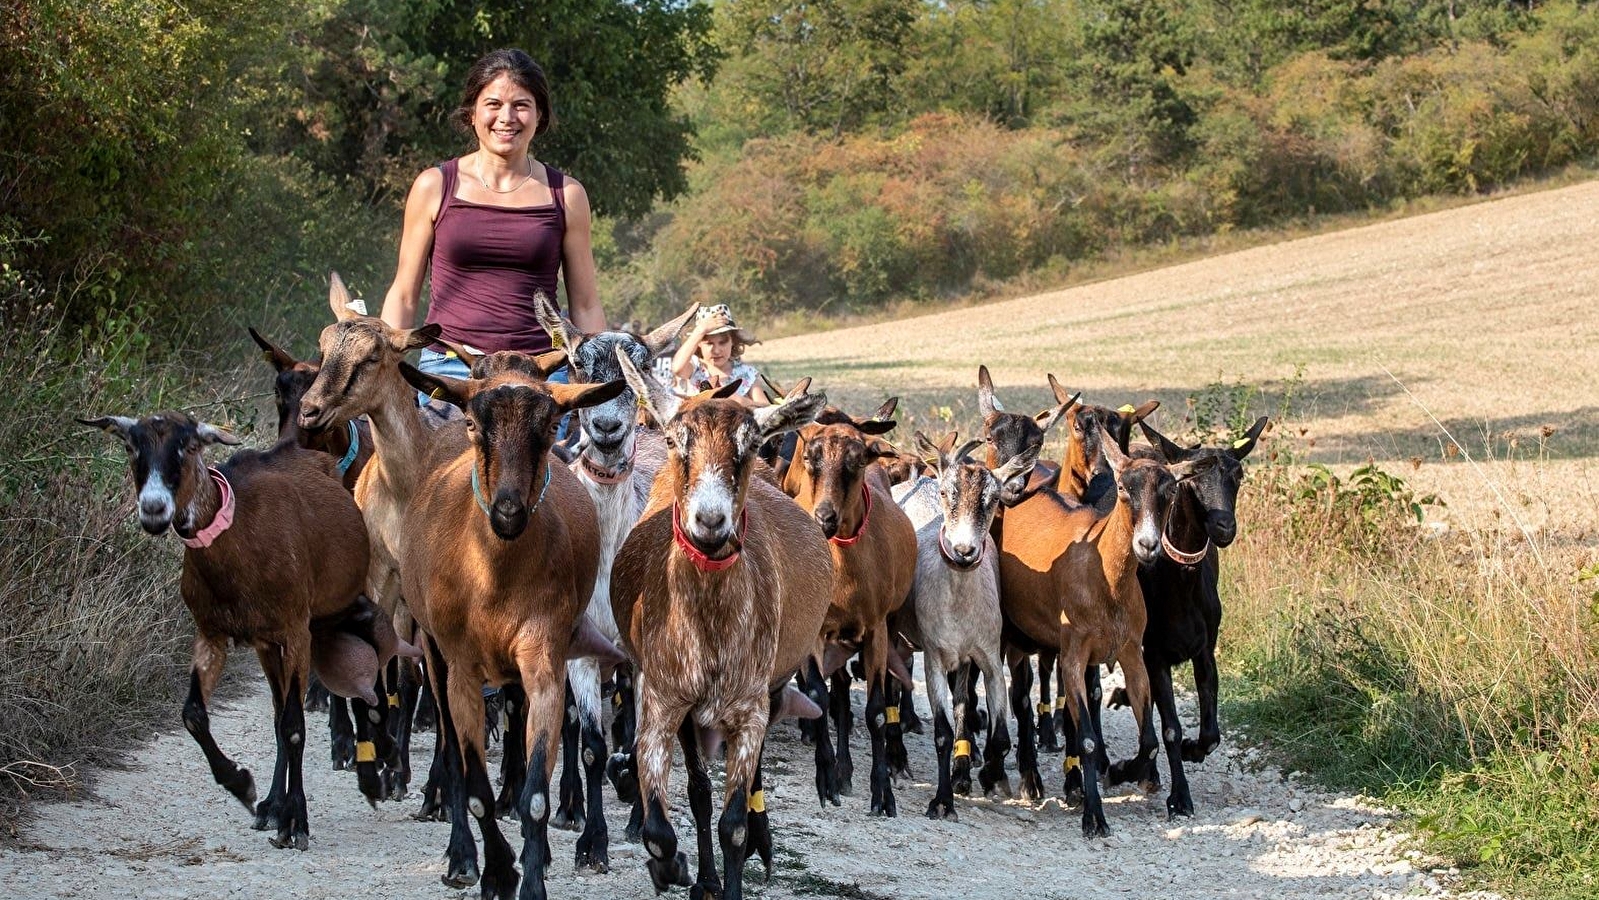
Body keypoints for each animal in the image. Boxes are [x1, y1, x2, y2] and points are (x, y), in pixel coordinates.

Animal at [394, 356, 623, 895]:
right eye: (476, 426)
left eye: (549, 429)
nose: (507, 510)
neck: (492, 577)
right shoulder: (460, 668)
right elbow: (472, 781)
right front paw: (495, 870)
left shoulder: (544, 659)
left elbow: (536, 795)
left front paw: (532, 877)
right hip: (433, 649)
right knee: (451, 754)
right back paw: (460, 854)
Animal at [780, 401, 921, 818]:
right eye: (809, 457)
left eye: (855, 462)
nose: (824, 517)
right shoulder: (814, 630)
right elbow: (818, 696)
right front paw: (827, 779)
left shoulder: (876, 629)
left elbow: (876, 709)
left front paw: (882, 793)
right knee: (840, 693)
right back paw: (842, 769)